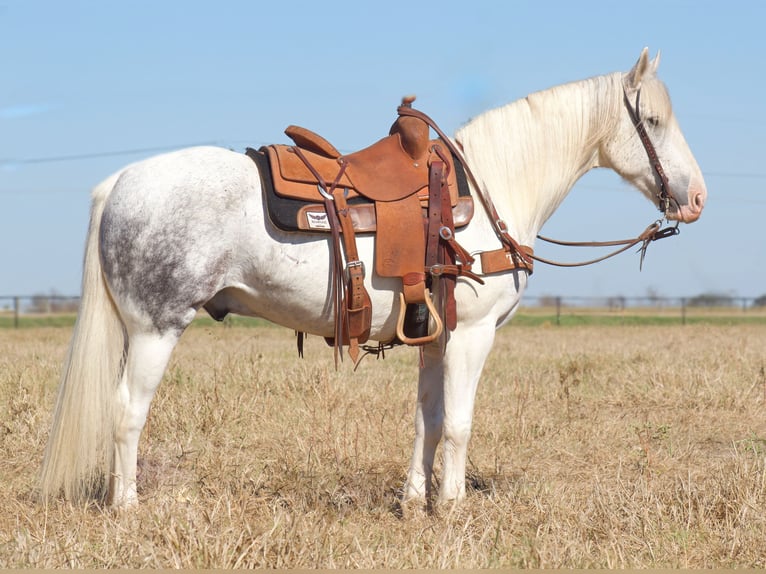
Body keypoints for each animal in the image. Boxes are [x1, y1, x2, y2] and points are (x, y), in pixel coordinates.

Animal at [36, 48, 708, 508]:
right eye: (652, 119)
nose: (697, 198)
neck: (490, 188)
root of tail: (120, 181)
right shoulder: (472, 335)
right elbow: (458, 423)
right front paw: (452, 508)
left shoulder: (435, 334)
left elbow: (427, 419)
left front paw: (415, 501)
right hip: (156, 329)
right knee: (127, 411)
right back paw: (128, 506)